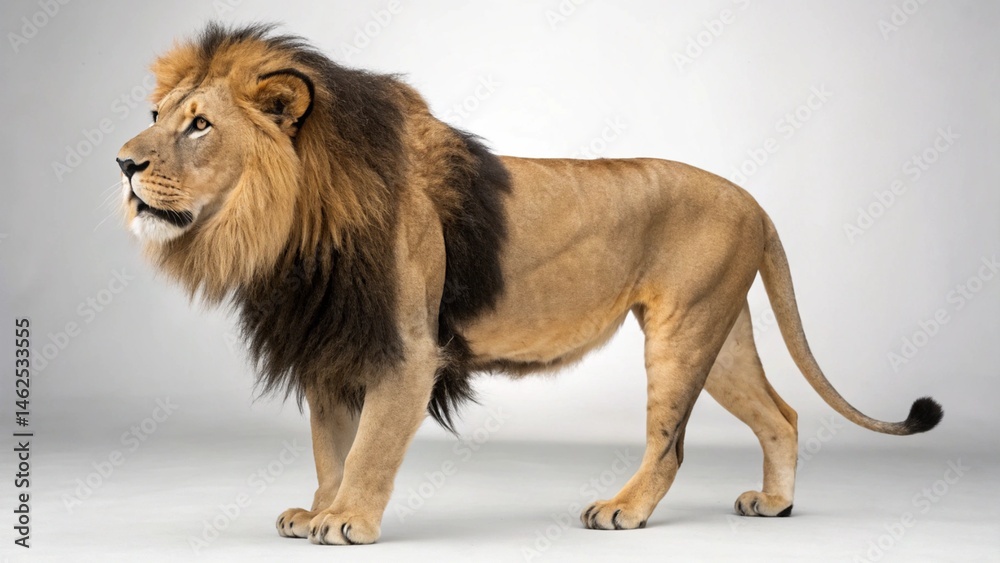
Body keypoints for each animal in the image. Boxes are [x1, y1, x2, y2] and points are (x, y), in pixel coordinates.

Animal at [116, 24, 942, 545]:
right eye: (154, 113)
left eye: (199, 125)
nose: (122, 163)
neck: (291, 229)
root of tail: (755, 202)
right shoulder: (332, 346)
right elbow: (330, 447)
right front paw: (318, 508)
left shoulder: (407, 351)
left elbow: (371, 446)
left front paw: (348, 520)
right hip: (721, 328)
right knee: (783, 414)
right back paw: (774, 502)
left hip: (682, 333)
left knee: (670, 443)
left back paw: (622, 510)